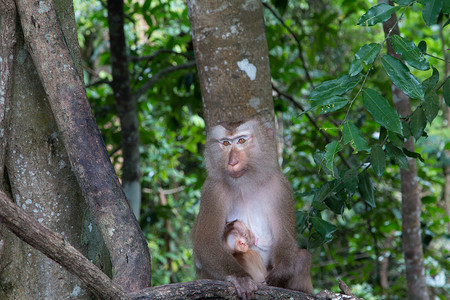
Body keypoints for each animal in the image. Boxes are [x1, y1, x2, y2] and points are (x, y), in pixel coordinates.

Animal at [192, 118, 314, 298]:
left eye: (241, 141)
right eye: (226, 143)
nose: (232, 162)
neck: (244, 182)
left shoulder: (280, 186)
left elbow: (283, 237)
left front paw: (280, 274)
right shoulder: (212, 190)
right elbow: (207, 243)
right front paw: (240, 277)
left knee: (303, 256)